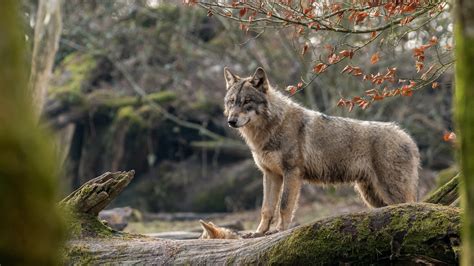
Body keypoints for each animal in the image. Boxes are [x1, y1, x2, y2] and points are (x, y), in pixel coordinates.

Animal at [222, 66, 418, 235]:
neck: (270, 127)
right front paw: (259, 233)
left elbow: (284, 205)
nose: (231, 121)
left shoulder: (292, 172)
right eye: (231, 102)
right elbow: (266, 208)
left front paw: (280, 230)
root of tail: (408, 137)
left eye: (247, 101)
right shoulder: (271, 174)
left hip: (389, 191)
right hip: (371, 196)